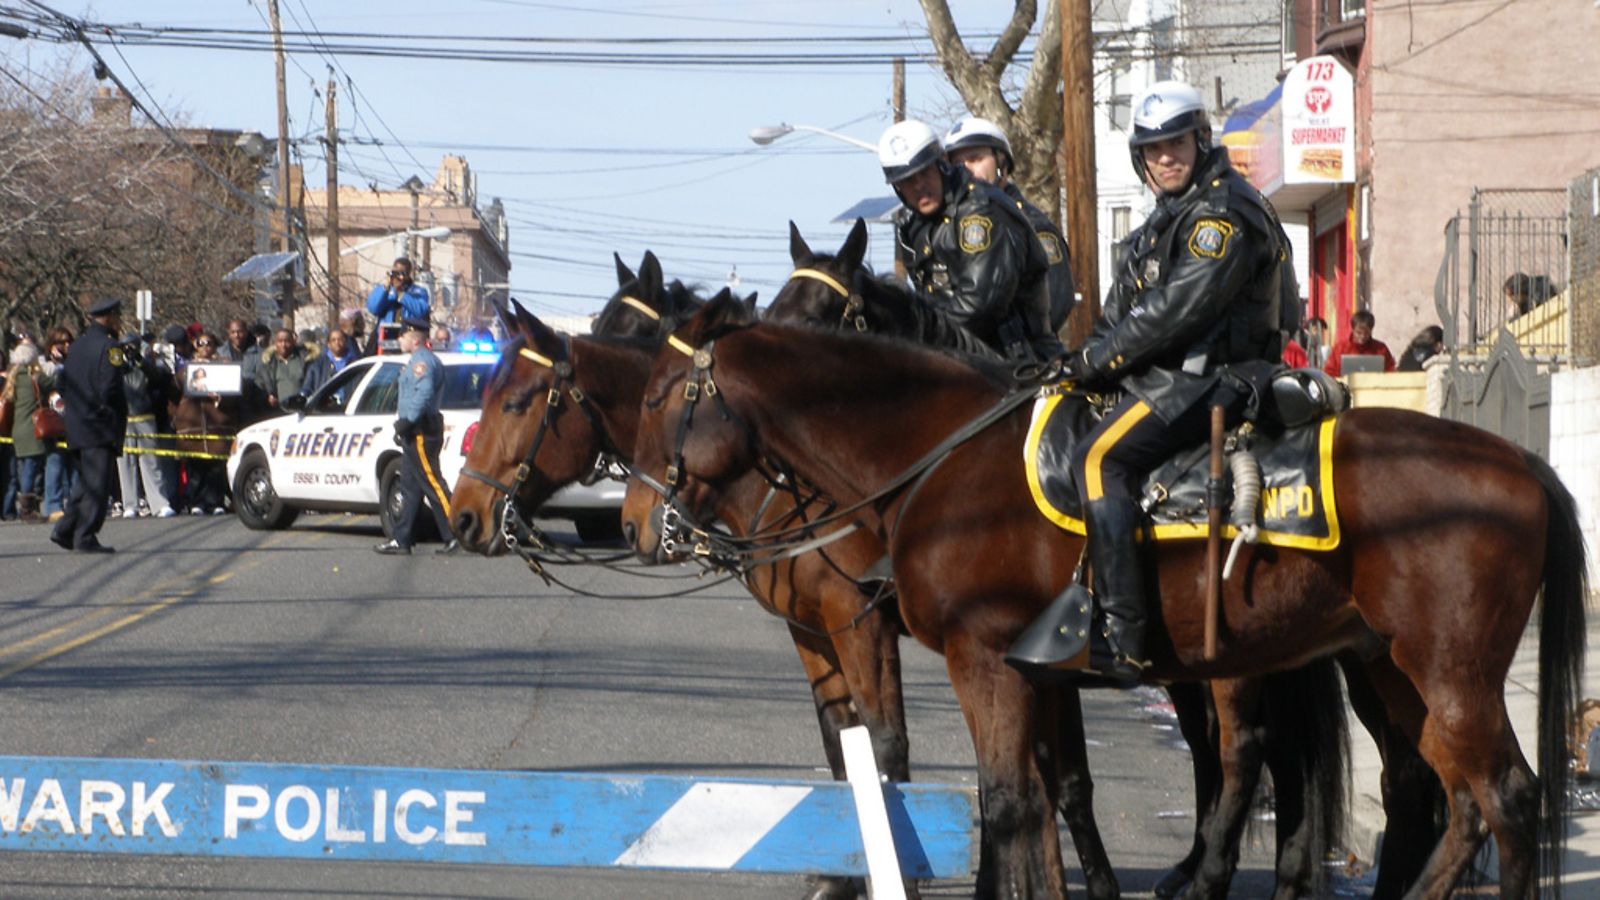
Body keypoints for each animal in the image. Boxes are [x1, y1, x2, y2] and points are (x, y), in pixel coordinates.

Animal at [444, 257, 1113, 896]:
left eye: (515, 402)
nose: (464, 515)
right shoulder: (811, 630)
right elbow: (842, 745)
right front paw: (841, 873)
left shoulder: (860, 624)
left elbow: (887, 747)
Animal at [624, 291, 1587, 890]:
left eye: (664, 395)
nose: (635, 521)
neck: (940, 455)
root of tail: (1521, 463)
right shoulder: (1032, 672)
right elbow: (1041, 801)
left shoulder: (983, 659)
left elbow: (1007, 802)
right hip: (1388, 666)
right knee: (1448, 801)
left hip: (1441, 671)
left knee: (1502, 797)